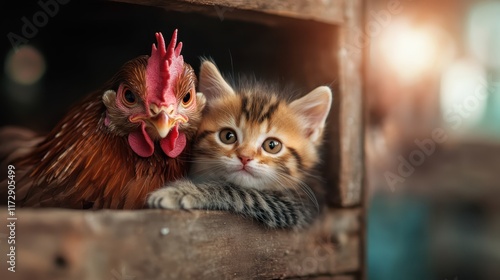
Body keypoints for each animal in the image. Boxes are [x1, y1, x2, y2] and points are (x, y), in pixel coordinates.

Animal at [146, 60, 334, 229]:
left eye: (272, 146)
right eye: (228, 136)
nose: (245, 157)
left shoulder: (299, 205)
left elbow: (241, 192)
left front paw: (180, 192)